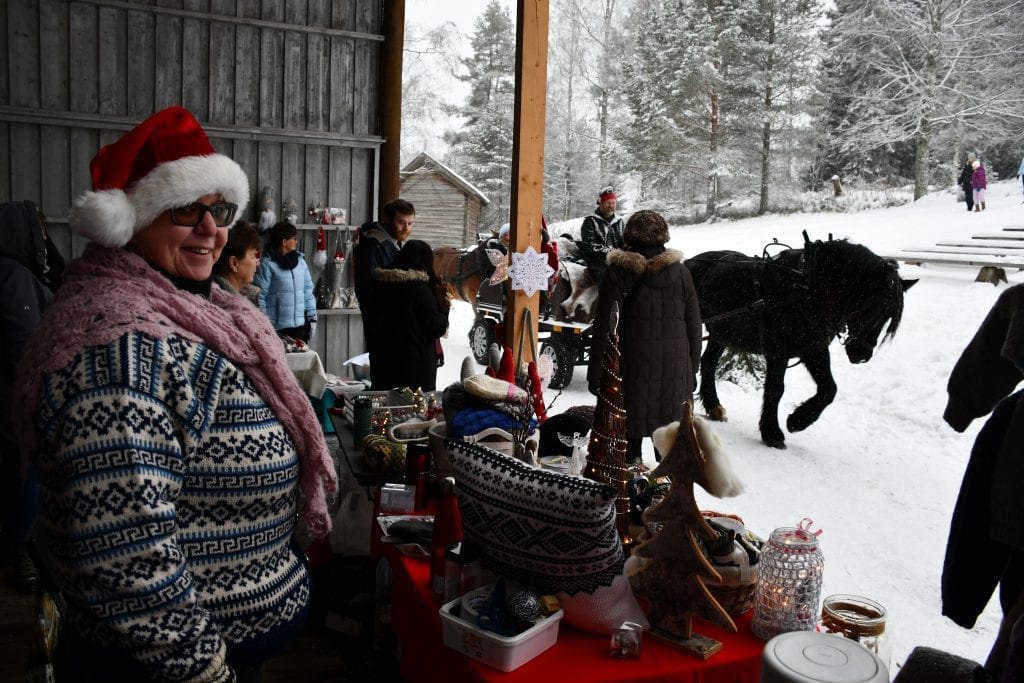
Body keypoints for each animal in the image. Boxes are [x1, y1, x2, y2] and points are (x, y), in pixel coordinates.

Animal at [684, 237, 917, 450]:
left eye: (887, 316)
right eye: (869, 307)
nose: (862, 354)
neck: (805, 287)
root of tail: (689, 262)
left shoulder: (813, 349)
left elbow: (829, 388)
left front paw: (798, 421)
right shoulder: (778, 351)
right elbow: (776, 389)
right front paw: (772, 432)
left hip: (722, 333)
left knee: (708, 362)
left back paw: (713, 406)